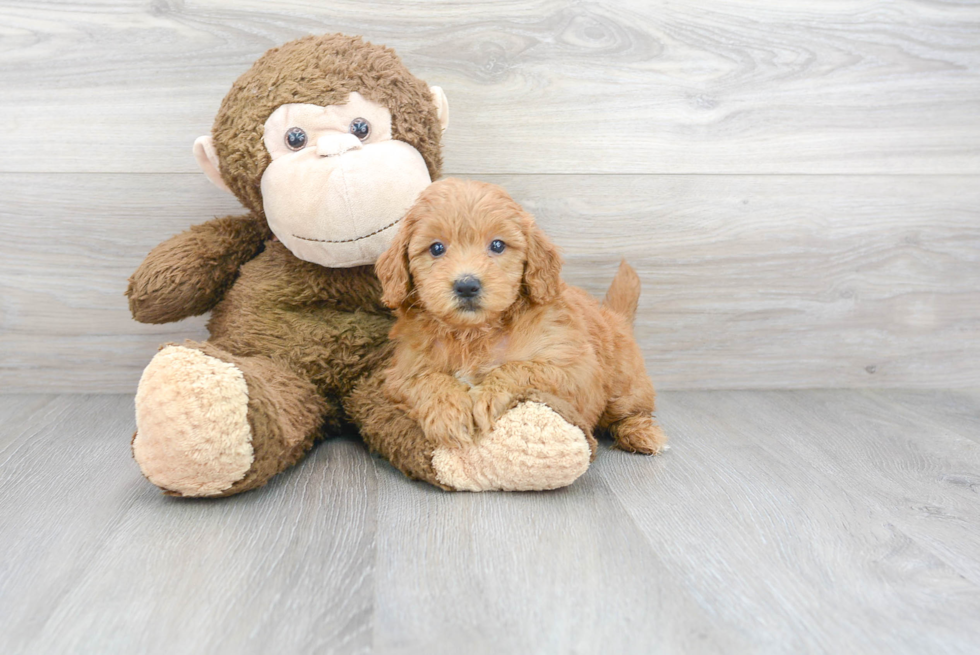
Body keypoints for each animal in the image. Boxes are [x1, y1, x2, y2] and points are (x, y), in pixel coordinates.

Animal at [376, 179, 668, 456]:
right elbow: (427, 380)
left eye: (497, 245)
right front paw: (448, 413)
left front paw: (488, 395)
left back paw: (641, 433)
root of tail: (615, 317)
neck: (473, 333)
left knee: (631, 411)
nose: (467, 285)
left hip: (625, 386)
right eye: (436, 248)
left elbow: (519, 368)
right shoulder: (401, 374)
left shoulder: (574, 368)